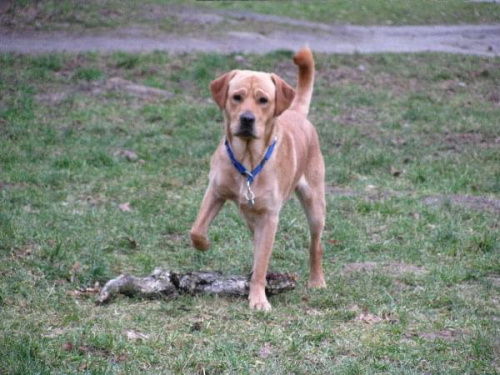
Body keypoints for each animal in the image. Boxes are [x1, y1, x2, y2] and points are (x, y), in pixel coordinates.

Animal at [189, 47, 326, 312]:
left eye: (263, 100)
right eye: (236, 97)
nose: (247, 119)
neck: (248, 160)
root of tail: (295, 111)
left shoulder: (270, 217)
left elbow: (262, 262)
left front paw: (258, 299)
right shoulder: (215, 192)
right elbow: (196, 230)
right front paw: (205, 245)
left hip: (314, 205)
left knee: (315, 245)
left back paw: (316, 280)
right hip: (249, 216)